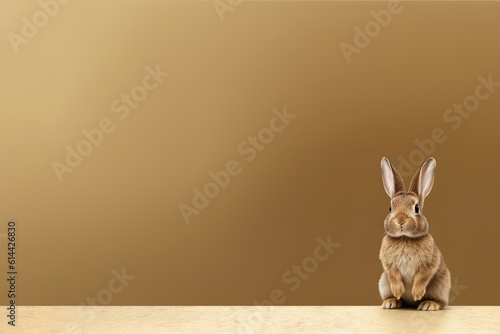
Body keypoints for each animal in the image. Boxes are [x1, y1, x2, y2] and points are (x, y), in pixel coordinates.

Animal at [378, 157, 450, 310]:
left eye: (416, 208)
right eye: (390, 208)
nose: (401, 220)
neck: (405, 238)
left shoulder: (429, 263)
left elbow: (423, 277)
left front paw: (417, 294)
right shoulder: (389, 265)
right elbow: (393, 275)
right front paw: (398, 292)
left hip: (441, 285)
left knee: (442, 302)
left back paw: (428, 304)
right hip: (383, 283)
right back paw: (391, 302)